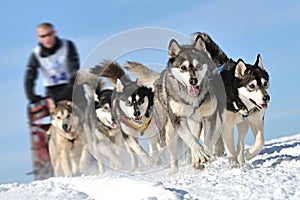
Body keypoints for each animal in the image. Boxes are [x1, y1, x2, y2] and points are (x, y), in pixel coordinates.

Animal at [124, 37, 225, 170]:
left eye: (198, 66)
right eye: (183, 67)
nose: (193, 81)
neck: (191, 98)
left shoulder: (208, 117)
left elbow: (206, 140)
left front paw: (205, 156)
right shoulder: (177, 119)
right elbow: (189, 138)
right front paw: (200, 154)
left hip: (194, 123)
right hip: (168, 132)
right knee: (173, 152)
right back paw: (174, 170)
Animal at [193, 33, 270, 167]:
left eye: (265, 83)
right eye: (252, 86)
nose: (266, 98)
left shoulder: (254, 120)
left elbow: (259, 142)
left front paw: (248, 155)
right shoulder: (227, 125)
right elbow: (230, 148)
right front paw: (233, 164)